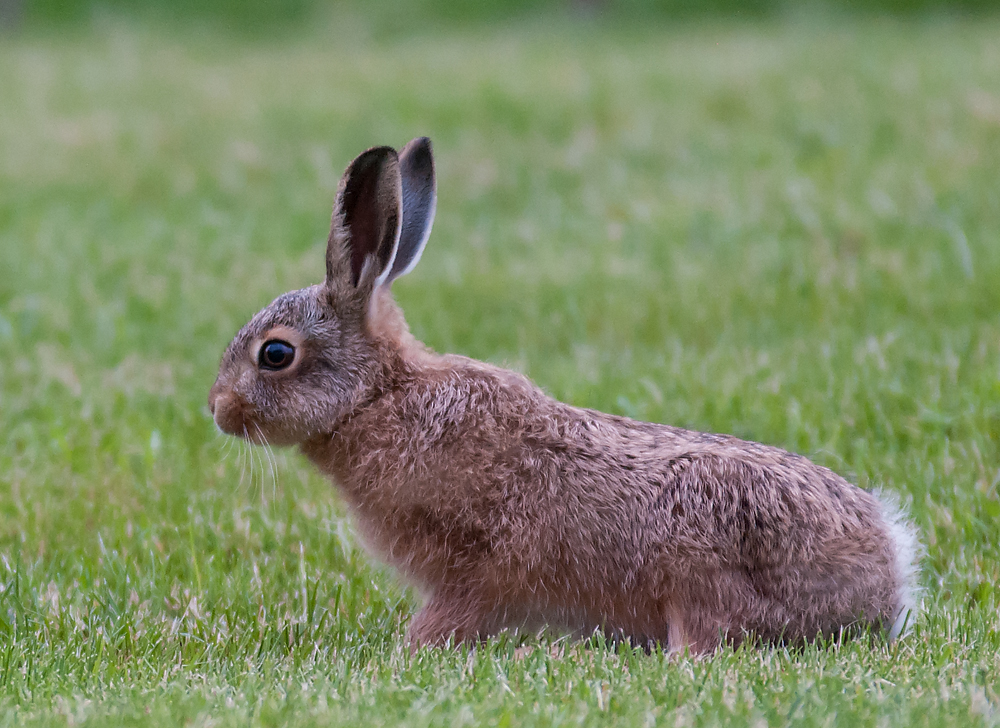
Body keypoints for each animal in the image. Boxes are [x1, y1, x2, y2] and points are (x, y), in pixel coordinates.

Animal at [209, 136, 920, 656]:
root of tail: (888, 577)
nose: (217, 411)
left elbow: (453, 616)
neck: (377, 395)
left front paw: (408, 653)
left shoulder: (475, 567)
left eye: (275, 354)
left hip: (704, 572)